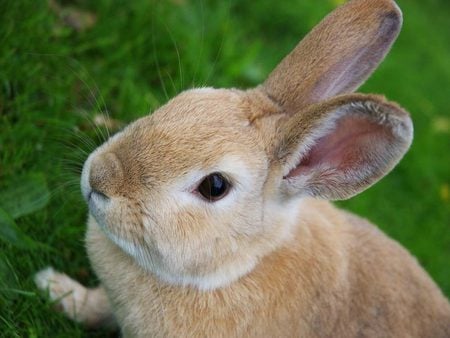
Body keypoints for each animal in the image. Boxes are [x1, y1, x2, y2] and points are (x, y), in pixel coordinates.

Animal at [35, 0, 450, 336]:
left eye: (215, 186)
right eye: (183, 101)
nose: (98, 176)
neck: (239, 267)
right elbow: (97, 306)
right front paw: (54, 287)